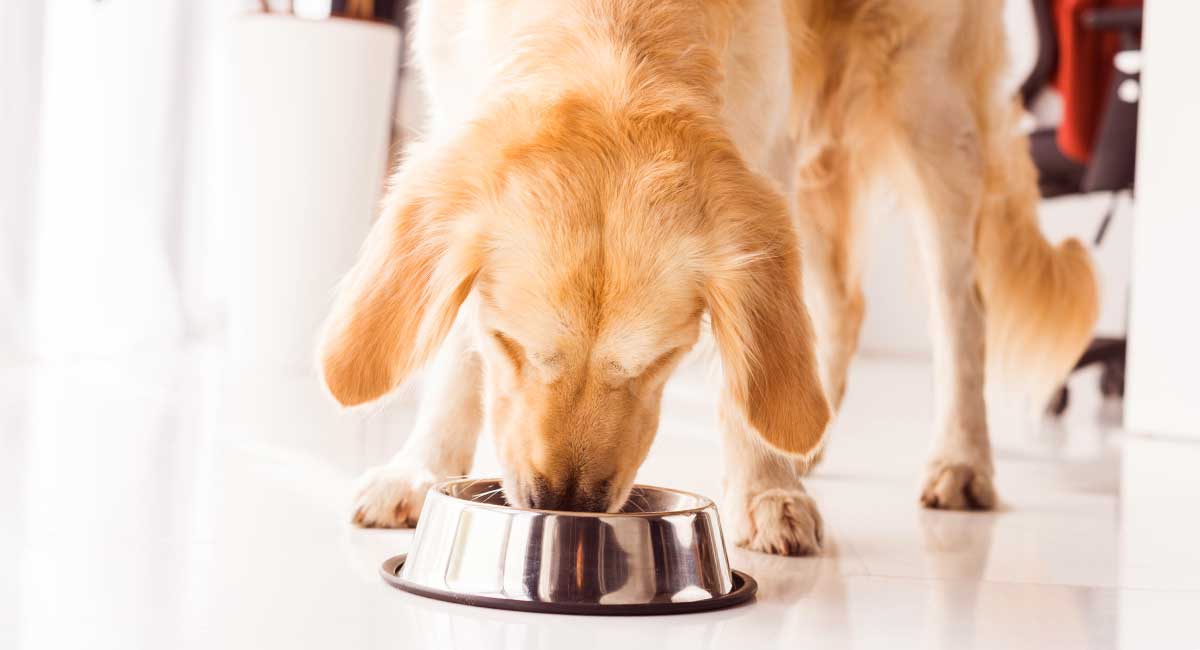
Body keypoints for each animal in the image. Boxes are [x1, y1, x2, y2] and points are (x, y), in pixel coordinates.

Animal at [316, 1, 1099, 561]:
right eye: (511, 344)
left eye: (659, 361)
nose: (566, 504)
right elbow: (456, 355)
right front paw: (419, 470)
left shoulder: (765, 141)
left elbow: (742, 369)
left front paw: (766, 490)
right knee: (843, 300)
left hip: (929, 105)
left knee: (960, 306)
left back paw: (960, 460)